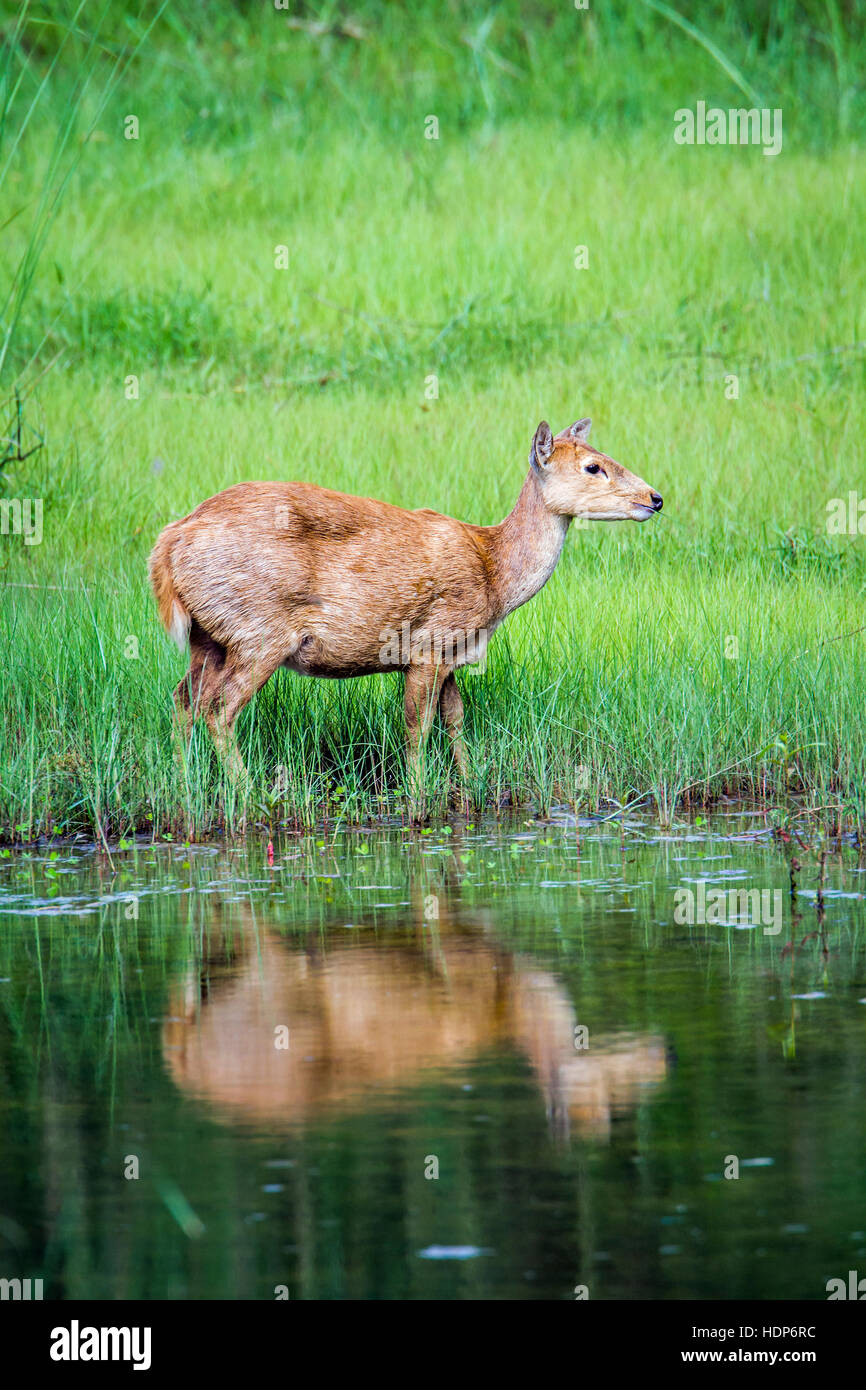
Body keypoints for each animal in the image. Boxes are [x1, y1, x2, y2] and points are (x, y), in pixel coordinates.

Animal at [148, 414, 664, 806]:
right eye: (593, 466)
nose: (655, 497)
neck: (495, 576)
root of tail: (169, 543)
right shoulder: (428, 643)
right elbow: (417, 726)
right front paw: (418, 795)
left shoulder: (455, 653)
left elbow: (455, 719)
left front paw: (470, 784)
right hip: (260, 631)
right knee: (219, 708)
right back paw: (249, 793)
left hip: (208, 637)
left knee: (182, 699)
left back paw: (183, 783)